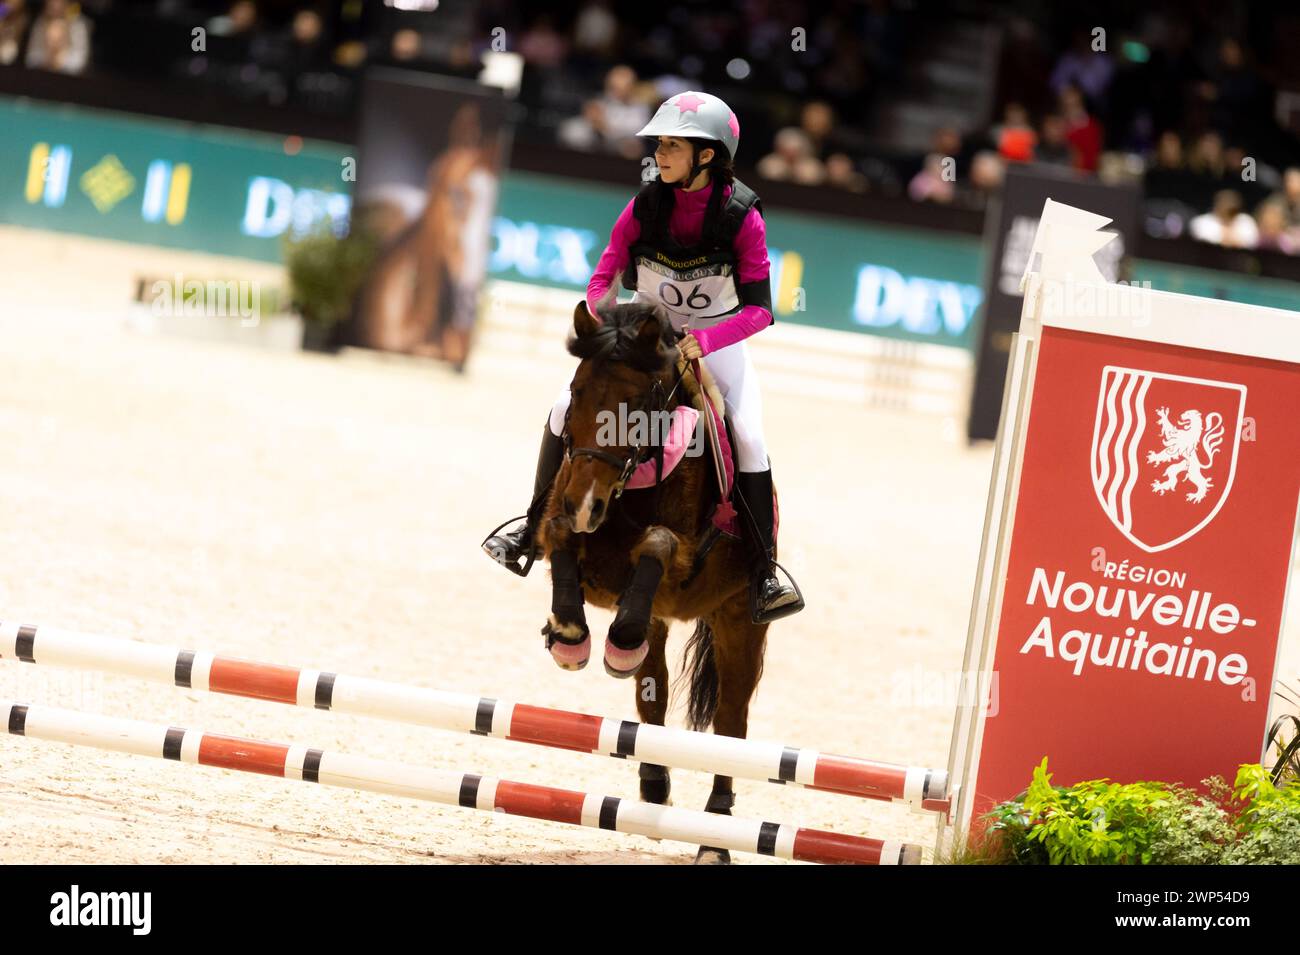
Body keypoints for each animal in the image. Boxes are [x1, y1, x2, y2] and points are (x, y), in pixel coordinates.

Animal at [538, 300, 769, 867]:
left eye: (639, 404)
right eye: (576, 391)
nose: (586, 504)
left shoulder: (681, 562)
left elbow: (658, 542)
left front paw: (600, 636)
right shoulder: (566, 525)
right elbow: (559, 535)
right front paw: (569, 633)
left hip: (739, 620)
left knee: (730, 722)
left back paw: (715, 837)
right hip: (661, 625)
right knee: (653, 692)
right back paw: (653, 784)